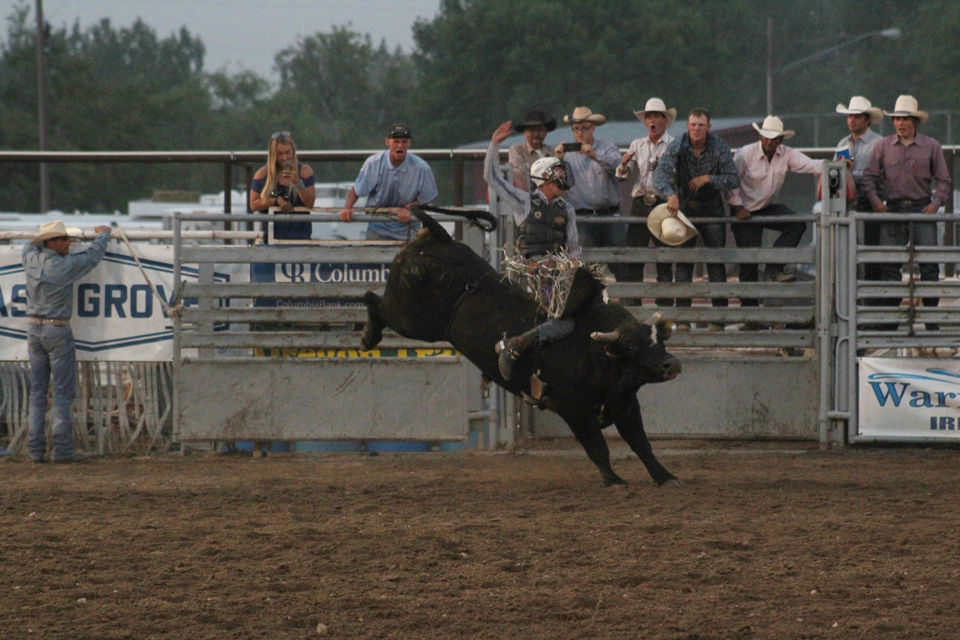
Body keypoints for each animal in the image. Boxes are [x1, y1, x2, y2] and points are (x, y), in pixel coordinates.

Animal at [360, 210, 684, 484]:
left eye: (659, 339)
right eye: (631, 346)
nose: (671, 364)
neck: (598, 354)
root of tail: (439, 236)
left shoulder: (625, 404)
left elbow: (642, 444)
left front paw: (665, 477)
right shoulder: (573, 409)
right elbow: (597, 447)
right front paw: (613, 480)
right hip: (413, 320)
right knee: (372, 299)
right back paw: (367, 336)